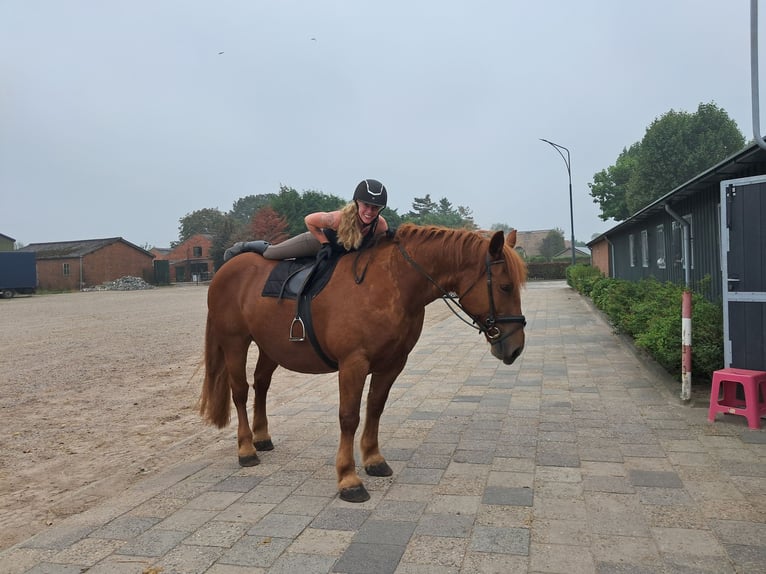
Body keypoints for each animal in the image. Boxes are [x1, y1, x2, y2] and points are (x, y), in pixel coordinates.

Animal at [198, 225, 528, 504]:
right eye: (505, 287)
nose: (516, 347)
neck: (392, 283)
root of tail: (227, 269)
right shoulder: (353, 364)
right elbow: (349, 417)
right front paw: (348, 479)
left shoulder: (392, 364)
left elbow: (375, 409)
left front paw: (373, 459)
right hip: (235, 343)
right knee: (240, 391)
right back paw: (246, 449)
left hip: (270, 346)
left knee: (261, 384)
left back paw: (262, 437)